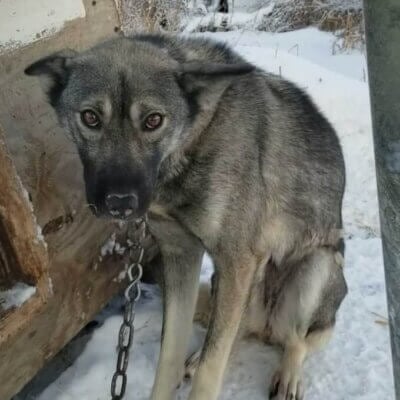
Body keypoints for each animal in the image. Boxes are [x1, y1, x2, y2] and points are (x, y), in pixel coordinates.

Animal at [25, 35, 346, 400]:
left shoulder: (236, 260)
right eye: (90, 117)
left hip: (316, 268)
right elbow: (170, 355)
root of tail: (266, 324)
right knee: (236, 331)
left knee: (296, 341)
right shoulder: (182, 255)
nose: (120, 202)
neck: (195, 137)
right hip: (231, 284)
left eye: (153, 120)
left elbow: (211, 367)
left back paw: (290, 374)